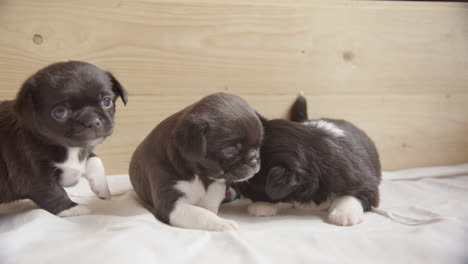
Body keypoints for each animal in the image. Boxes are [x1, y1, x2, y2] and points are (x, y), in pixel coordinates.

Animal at [0, 61, 128, 217]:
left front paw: (102, 188)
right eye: (60, 113)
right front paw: (73, 208)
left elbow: (95, 160)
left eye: (107, 101)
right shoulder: (36, 176)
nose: (92, 121)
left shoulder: (84, 150)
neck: (70, 148)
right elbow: (53, 192)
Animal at [130, 93, 264, 231]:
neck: (200, 175)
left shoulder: (216, 184)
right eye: (230, 151)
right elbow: (201, 214)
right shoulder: (171, 205)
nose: (254, 158)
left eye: (259, 147)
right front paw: (223, 223)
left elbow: (210, 203)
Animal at [236, 94, 382, 226]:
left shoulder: (364, 181)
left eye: (250, 183)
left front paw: (344, 214)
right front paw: (262, 205)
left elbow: (354, 194)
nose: (236, 188)